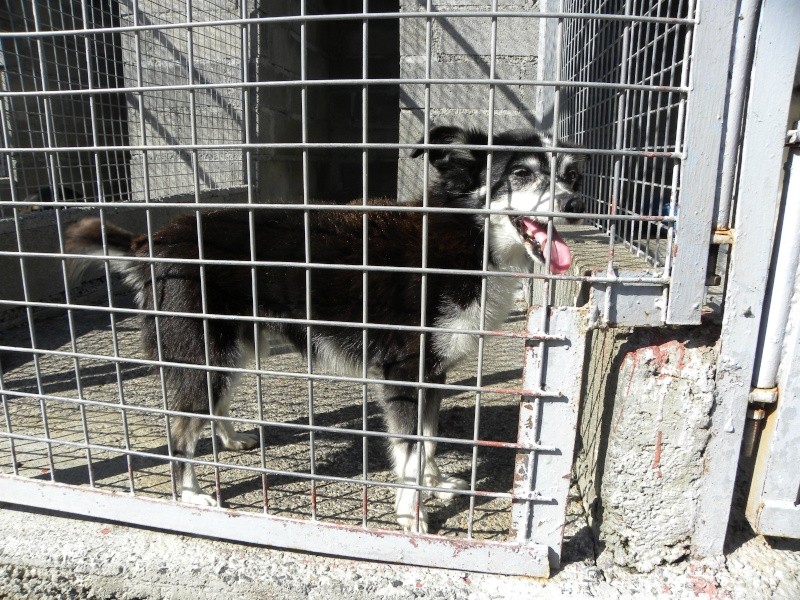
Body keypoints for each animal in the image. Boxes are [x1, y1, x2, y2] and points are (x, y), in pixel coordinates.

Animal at [65, 125, 584, 528]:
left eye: (572, 174)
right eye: (521, 173)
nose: (576, 203)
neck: (464, 237)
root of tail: (157, 240)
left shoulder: (432, 373)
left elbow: (429, 441)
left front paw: (434, 485)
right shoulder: (402, 373)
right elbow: (411, 449)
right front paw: (411, 513)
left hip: (233, 348)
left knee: (213, 404)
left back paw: (231, 439)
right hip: (202, 353)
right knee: (179, 431)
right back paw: (189, 494)